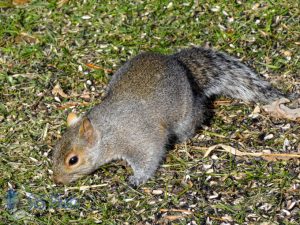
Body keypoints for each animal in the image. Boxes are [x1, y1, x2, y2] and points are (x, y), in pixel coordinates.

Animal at [52, 46, 286, 185]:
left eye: (73, 160)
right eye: (54, 151)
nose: (58, 180)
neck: (106, 131)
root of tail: (178, 64)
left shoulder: (138, 139)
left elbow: (149, 156)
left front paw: (137, 179)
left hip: (184, 116)